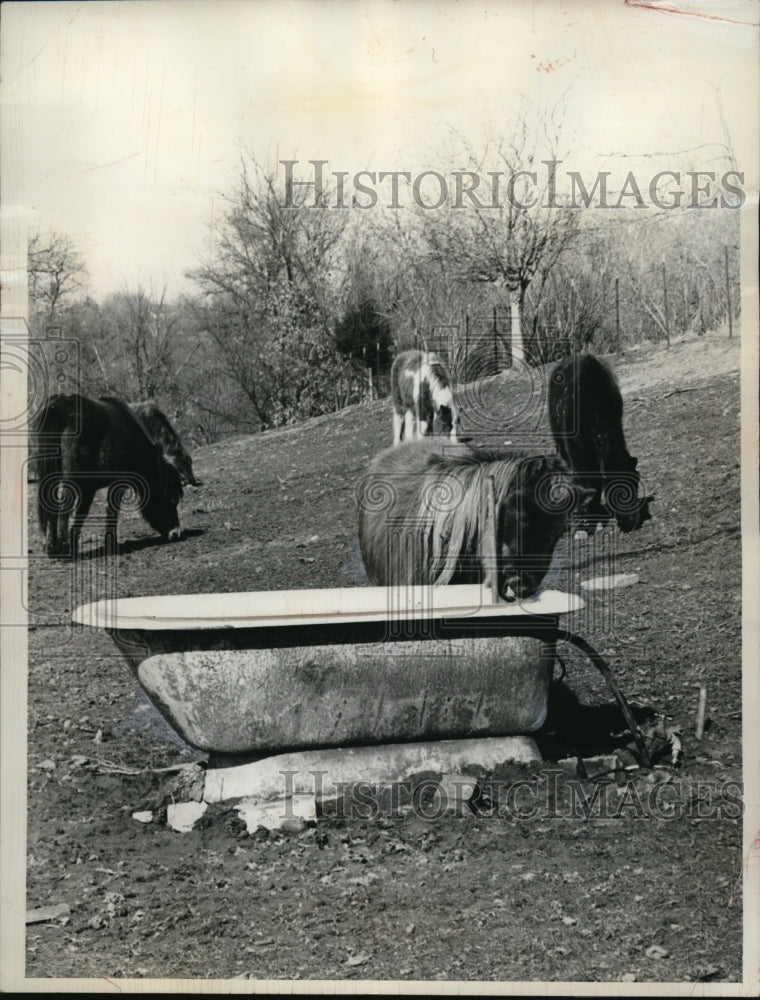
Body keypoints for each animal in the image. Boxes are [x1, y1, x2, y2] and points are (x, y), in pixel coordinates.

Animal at [35, 392, 184, 564]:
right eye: (172, 499)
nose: (176, 533)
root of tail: (60, 406)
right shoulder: (117, 482)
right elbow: (110, 511)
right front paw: (110, 543)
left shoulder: (88, 488)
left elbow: (82, 514)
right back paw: (62, 547)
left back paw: (52, 548)